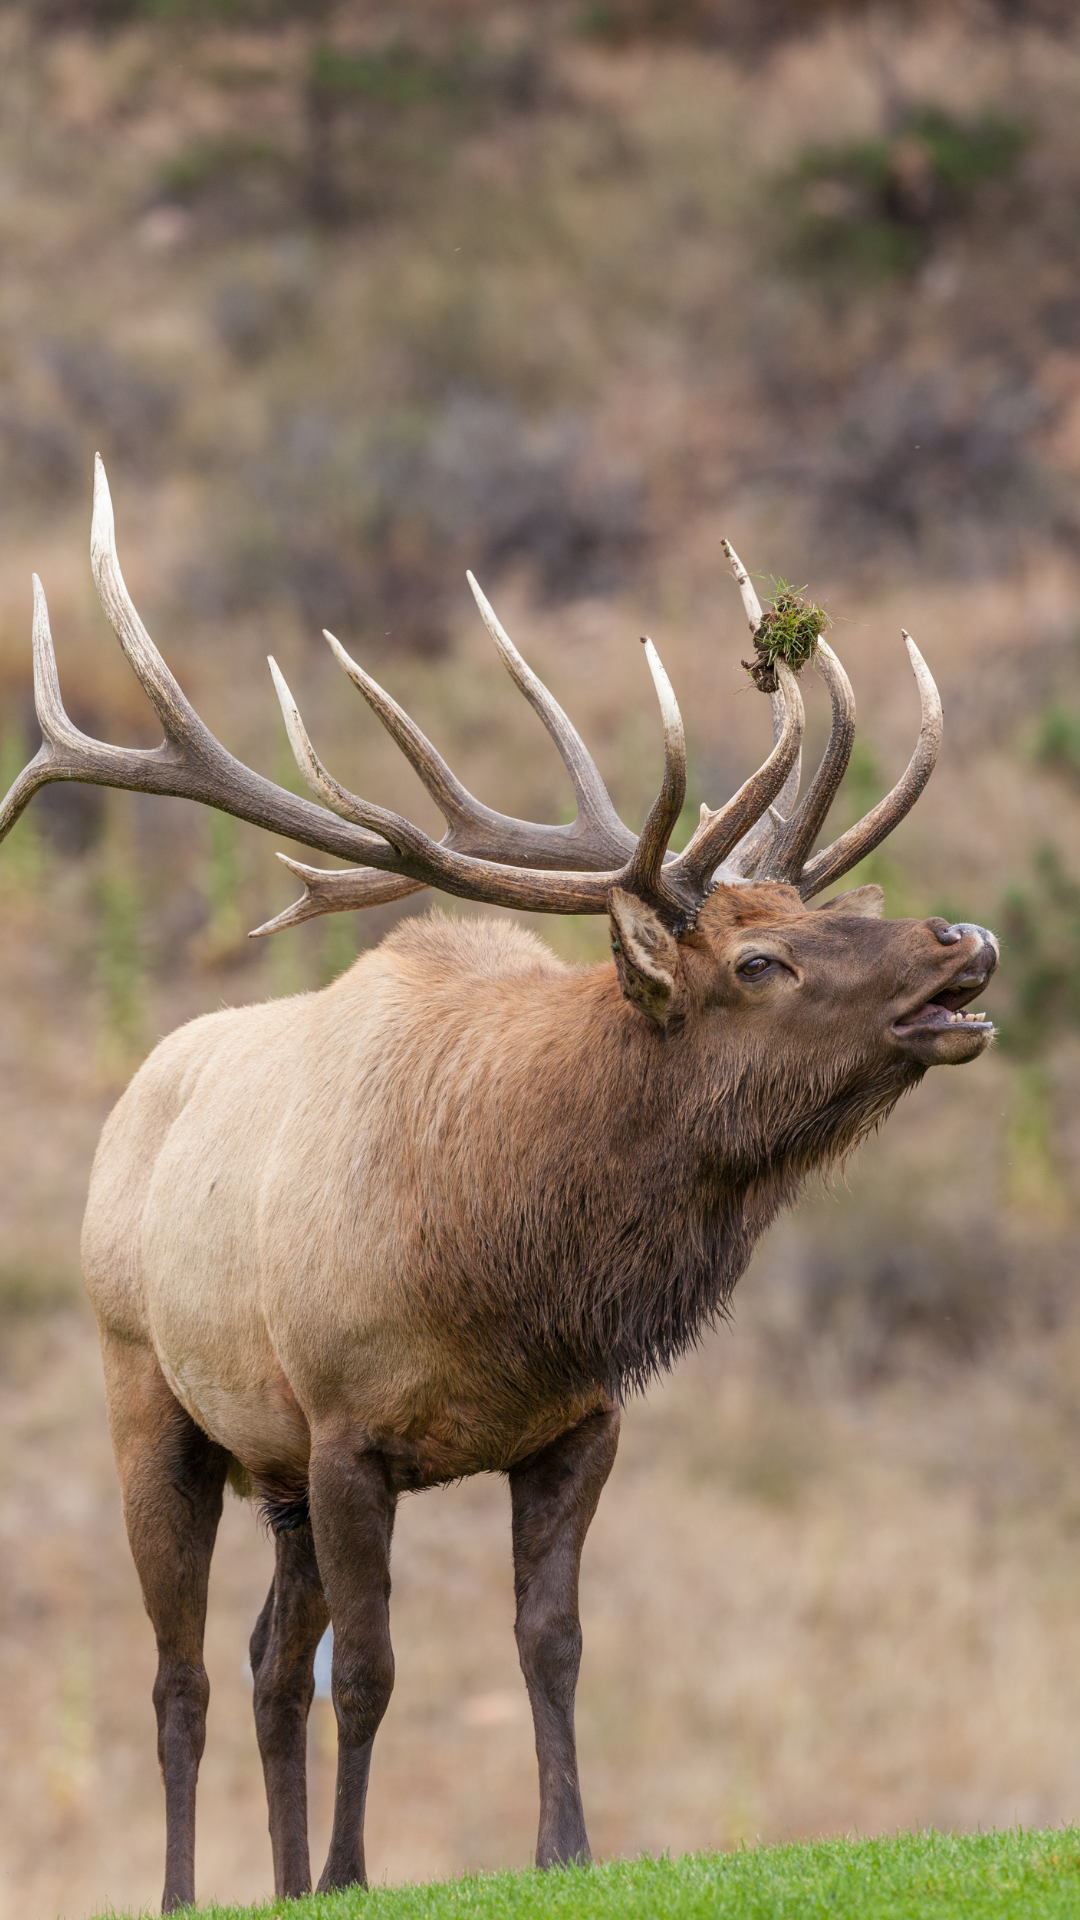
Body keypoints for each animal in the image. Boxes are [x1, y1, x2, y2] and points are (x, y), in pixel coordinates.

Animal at [0, 458, 998, 1913]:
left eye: (834, 912)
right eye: (759, 965)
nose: (963, 943)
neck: (507, 1270)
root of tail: (135, 1097)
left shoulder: (575, 1423)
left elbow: (551, 1641)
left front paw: (562, 1847)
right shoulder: (349, 1428)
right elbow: (370, 1671)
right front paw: (355, 1872)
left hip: (272, 1465)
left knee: (263, 1660)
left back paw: (278, 1880)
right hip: (150, 1401)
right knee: (182, 1677)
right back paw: (193, 1890)